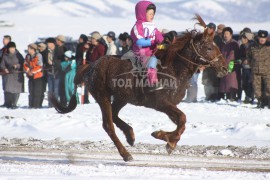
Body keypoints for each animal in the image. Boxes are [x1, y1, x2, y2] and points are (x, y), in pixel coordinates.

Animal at [50, 15, 228, 162]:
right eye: (209, 47)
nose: (225, 68)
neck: (174, 69)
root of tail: (90, 66)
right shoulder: (161, 103)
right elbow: (182, 119)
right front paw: (164, 138)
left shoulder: (171, 105)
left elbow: (181, 122)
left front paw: (168, 140)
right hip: (103, 96)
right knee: (108, 124)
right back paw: (126, 154)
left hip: (121, 97)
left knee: (114, 115)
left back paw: (130, 135)